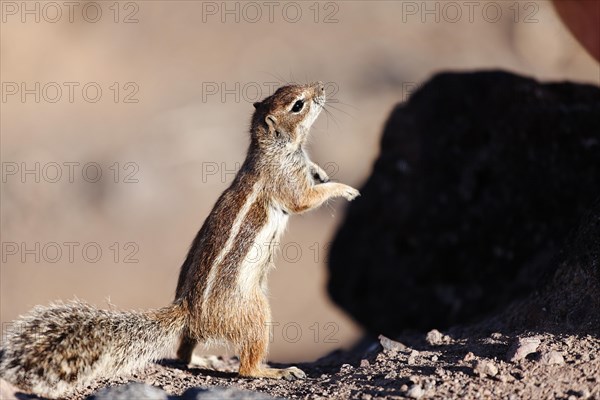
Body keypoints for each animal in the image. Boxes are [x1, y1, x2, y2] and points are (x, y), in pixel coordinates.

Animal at [0, 81, 358, 396]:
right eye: (298, 104)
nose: (321, 88)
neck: (274, 148)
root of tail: (188, 311)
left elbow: (314, 175)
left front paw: (323, 173)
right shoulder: (287, 181)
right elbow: (305, 200)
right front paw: (345, 189)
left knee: (184, 352)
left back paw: (203, 358)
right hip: (256, 313)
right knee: (246, 367)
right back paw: (273, 371)